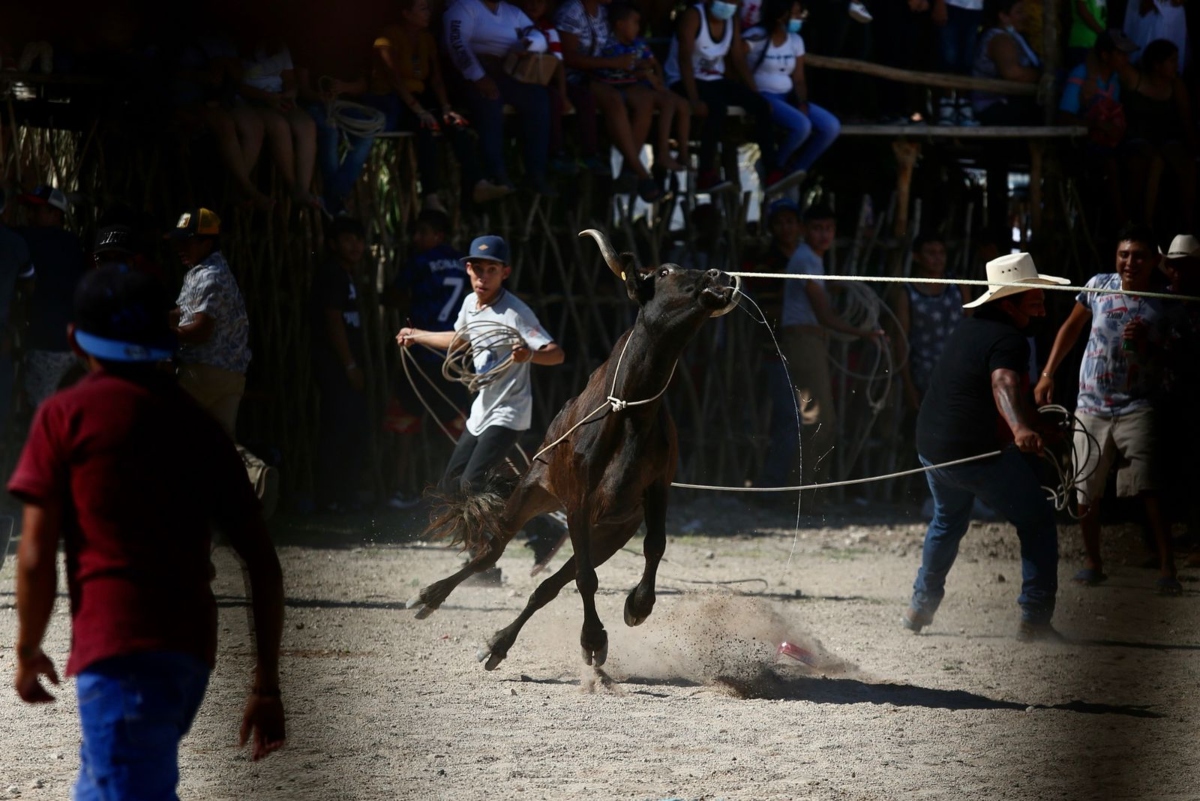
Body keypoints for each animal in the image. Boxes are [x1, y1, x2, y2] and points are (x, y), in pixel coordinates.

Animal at [408, 226, 734, 671]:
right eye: (665, 271)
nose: (720, 275)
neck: (630, 408)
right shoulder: (579, 497)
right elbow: (585, 578)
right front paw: (593, 638)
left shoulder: (656, 488)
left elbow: (654, 545)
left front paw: (637, 605)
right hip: (533, 493)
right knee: (493, 551)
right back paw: (429, 597)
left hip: (608, 531)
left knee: (549, 584)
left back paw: (498, 643)